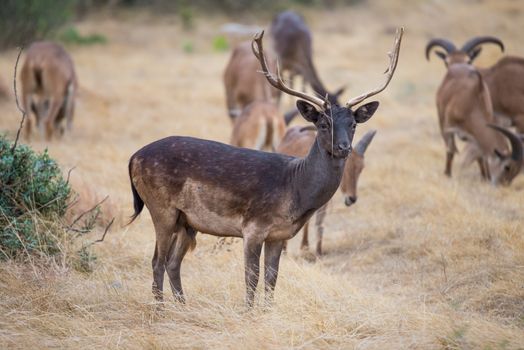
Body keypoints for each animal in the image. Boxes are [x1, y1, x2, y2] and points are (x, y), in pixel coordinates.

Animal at [428, 38, 520, 185]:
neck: (473, 103)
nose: (502, 184)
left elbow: (481, 156)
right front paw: (447, 175)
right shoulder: (448, 128)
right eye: (507, 166)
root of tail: (457, 65)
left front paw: (485, 177)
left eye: (519, 170)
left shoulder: (475, 136)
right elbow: (451, 150)